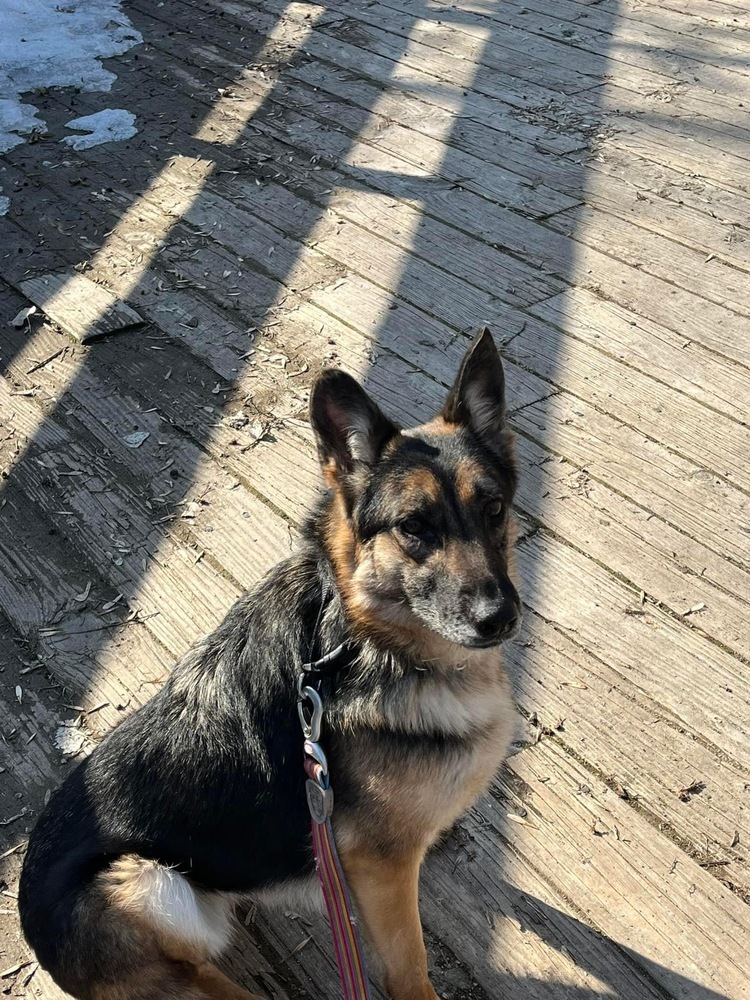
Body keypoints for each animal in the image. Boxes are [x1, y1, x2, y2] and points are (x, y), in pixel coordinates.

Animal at [19, 324, 524, 996]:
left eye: (493, 509)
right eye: (415, 527)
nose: (500, 617)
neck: (358, 635)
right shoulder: (383, 872)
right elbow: (410, 966)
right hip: (148, 884)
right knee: (194, 975)